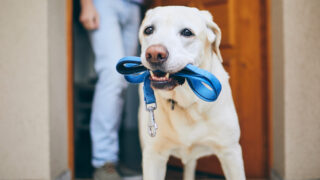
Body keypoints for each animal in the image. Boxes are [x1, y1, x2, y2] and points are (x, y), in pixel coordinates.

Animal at [138, 5, 245, 180]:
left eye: (187, 32)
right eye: (149, 30)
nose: (154, 53)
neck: (186, 101)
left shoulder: (230, 152)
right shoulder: (153, 155)